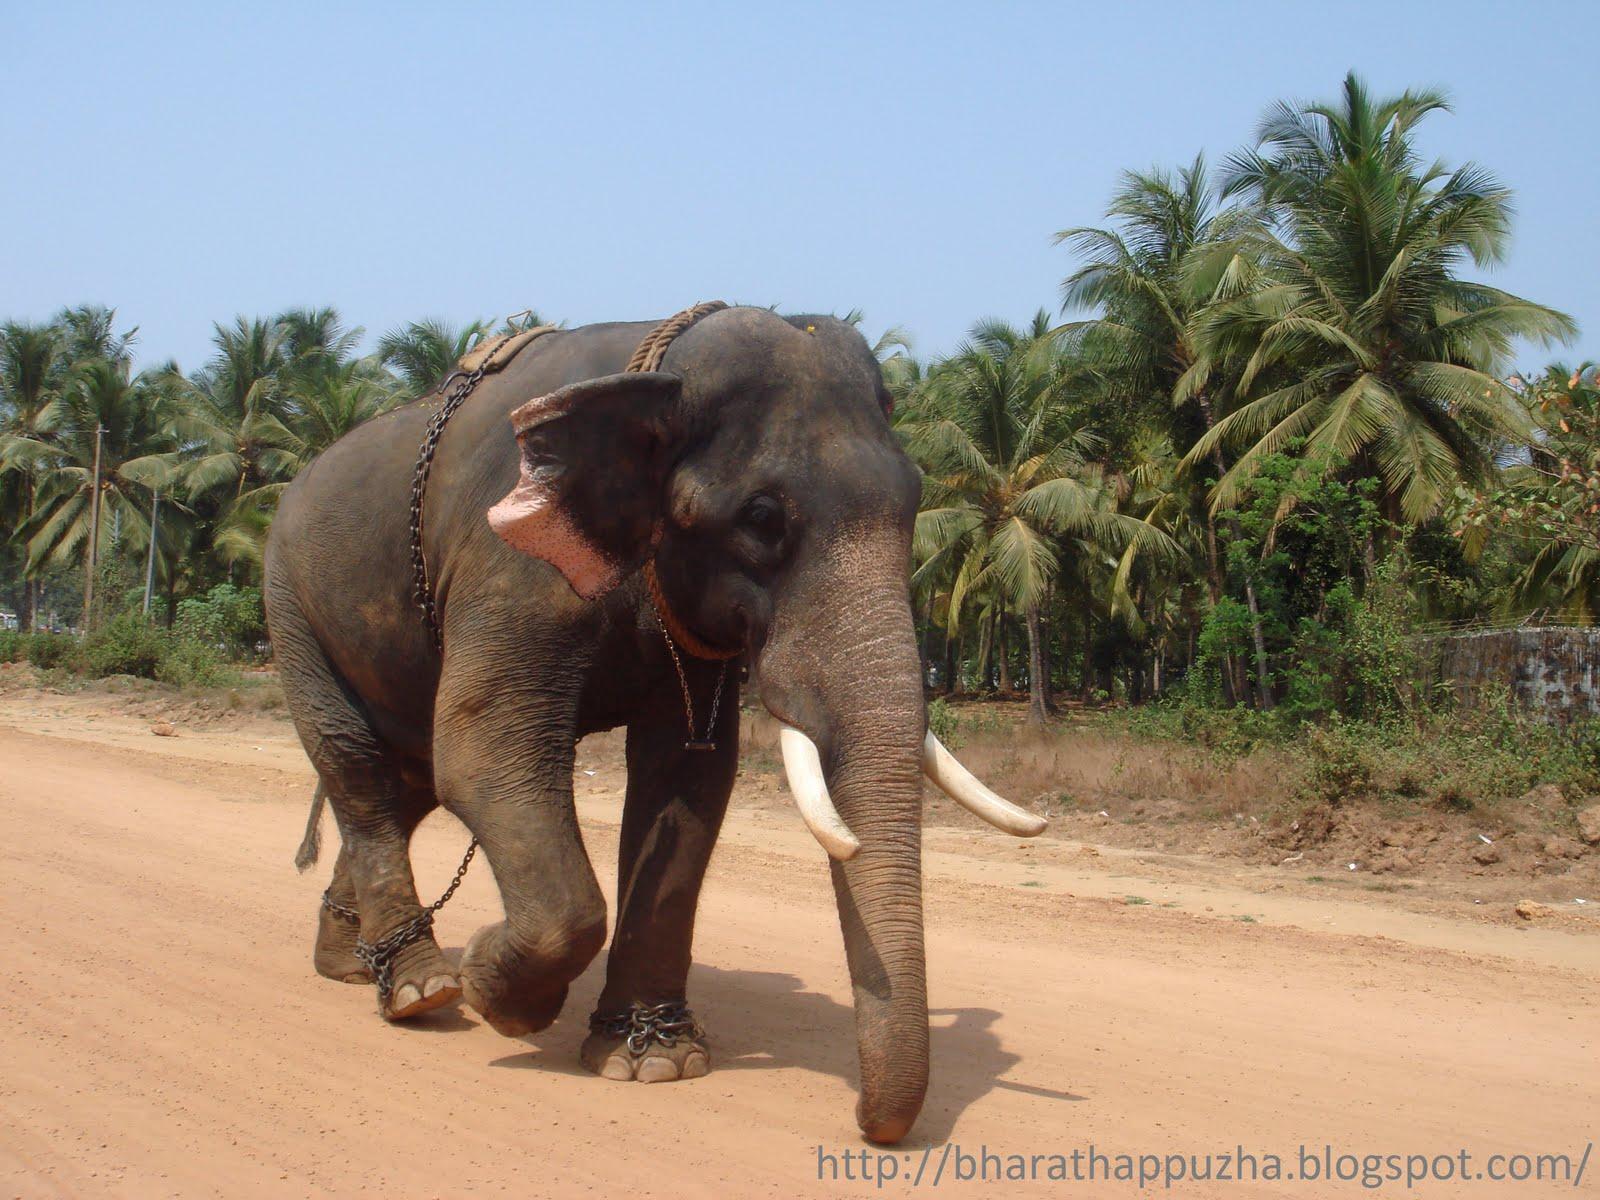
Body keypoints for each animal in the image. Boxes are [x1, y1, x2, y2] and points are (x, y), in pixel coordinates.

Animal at [263, 304, 1044, 1143]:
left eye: (915, 502)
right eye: (761, 519)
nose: (870, 1128)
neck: (656, 376)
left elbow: (689, 775)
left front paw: (653, 1062)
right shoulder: (508, 560)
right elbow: (481, 749)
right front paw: (499, 993)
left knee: (404, 784)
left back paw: (357, 965)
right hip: (290, 605)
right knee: (360, 768)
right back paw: (423, 990)